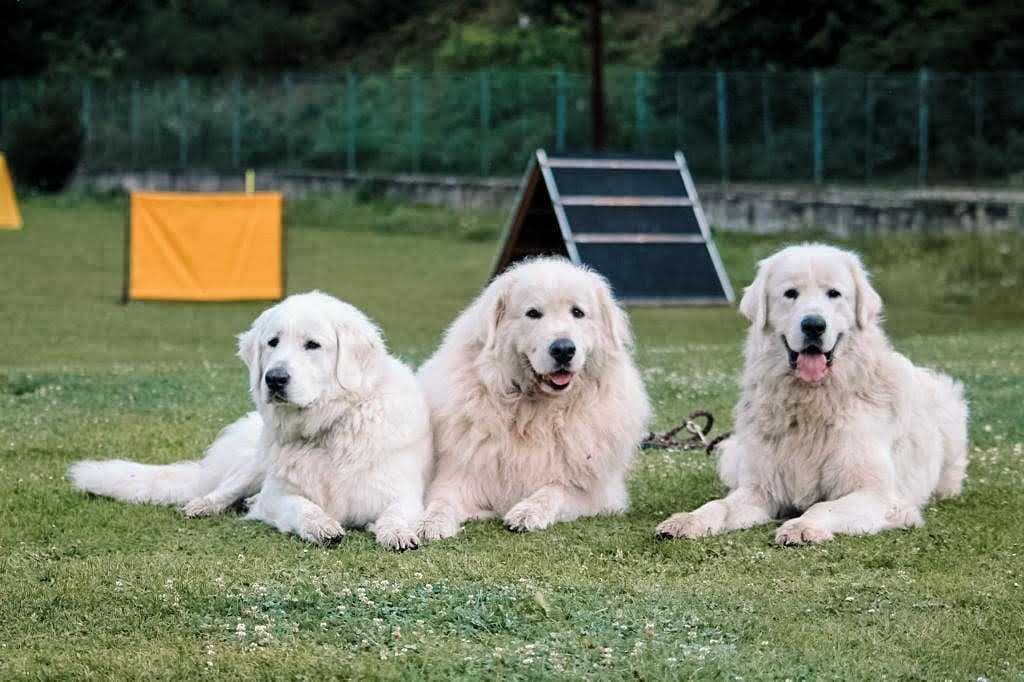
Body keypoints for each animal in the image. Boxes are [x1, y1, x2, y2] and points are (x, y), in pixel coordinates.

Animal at [67, 290, 428, 548]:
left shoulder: (402, 494)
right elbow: (301, 507)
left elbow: (396, 514)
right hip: (253, 466)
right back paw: (204, 505)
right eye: (273, 342)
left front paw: (396, 533)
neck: (328, 427)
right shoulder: (278, 495)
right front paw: (321, 525)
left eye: (313, 345)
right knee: (225, 490)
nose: (275, 379)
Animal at [413, 254, 647, 536]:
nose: (563, 349)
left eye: (577, 313)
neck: (536, 414)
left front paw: (528, 512)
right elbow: (441, 501)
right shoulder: (459, 477)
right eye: (533, 313)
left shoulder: (598, 494)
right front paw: (429, 523)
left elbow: (555, 489)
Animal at [655, 241, 966, 544]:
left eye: (834, 294)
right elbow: (718, 505)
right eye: (791, 293)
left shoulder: (875, 494)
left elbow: (822, 506)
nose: (814, 325)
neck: (811, 403)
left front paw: (802, 527)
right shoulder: (760, 489)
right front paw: (688, 520)